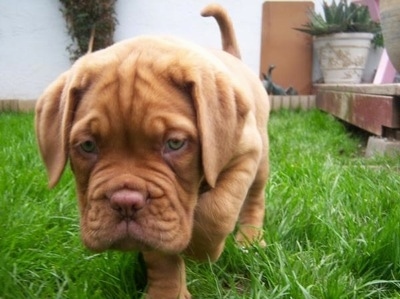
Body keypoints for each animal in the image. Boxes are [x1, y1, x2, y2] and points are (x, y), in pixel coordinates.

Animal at [36, 3, 270, 298]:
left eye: (175, 143)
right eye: (88, 145)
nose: (125, 203)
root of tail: (231, 55)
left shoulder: (245, 154)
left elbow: (217, 211)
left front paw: (199, 249)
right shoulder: (159, 218)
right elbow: (161, 258)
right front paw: (167, 292)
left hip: (261, 160)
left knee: (254, 199)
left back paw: (250, 239)